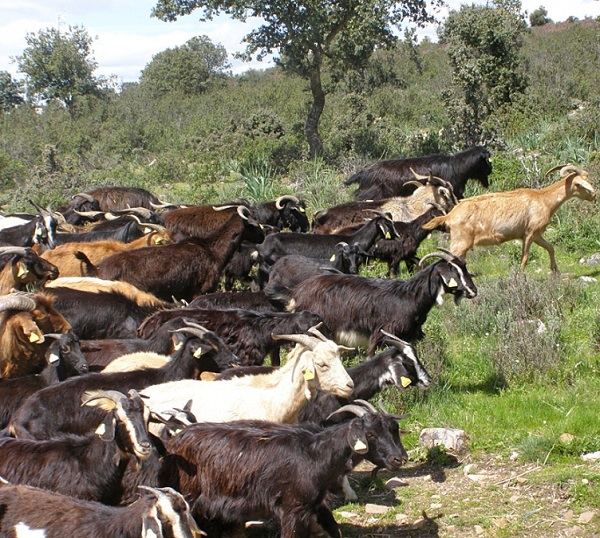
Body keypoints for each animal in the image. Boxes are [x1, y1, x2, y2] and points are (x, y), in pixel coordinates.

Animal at [422, 163, 596, 270]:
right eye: (580, 184)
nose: (594, 195)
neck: (543, 199)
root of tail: (450, 215)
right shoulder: (529, 233)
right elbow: (525, 258)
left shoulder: (536, 234)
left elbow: (550, 248)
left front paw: (555, 270)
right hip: (460, 243)